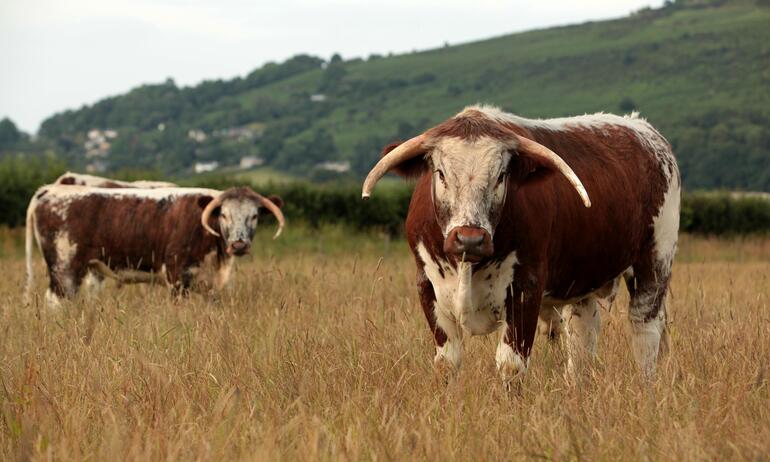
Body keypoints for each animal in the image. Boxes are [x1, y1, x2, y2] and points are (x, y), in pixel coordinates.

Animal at [27, 184, 286, 306]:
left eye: (254, 216)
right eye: (224, 215)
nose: (239, 244)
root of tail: (50, 190)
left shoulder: (210, 285)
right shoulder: (177, 277)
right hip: (65, 270)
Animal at [360, 104, 680, 382]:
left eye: (501, 176)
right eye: (440, 173)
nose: (470, 239)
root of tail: (643, 129)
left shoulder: (526, 288)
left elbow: (511, 364)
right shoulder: (427, 286)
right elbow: (447, 363)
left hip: (655, 261)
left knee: (645, 331)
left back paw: (646, 387)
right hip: (582, 282)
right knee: (582, 339)